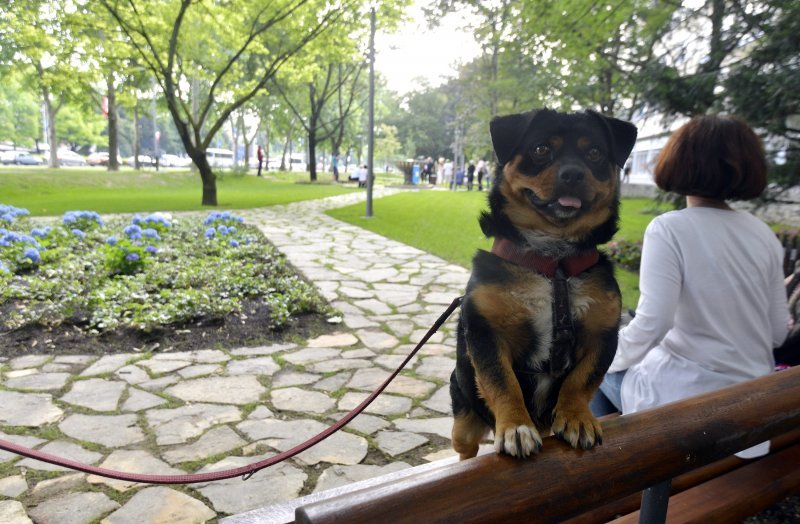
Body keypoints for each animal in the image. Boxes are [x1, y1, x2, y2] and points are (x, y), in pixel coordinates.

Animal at [450, 107, 636, 458]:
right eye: (541, 149)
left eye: (594, 153)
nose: (573, 174)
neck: (553, 263)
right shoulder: (486, 332)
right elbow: (502, 381)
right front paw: (516, 427)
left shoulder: (602, 334)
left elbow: (581, 380)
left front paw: (577, 418)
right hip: (462, 423)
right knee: (466, 446)